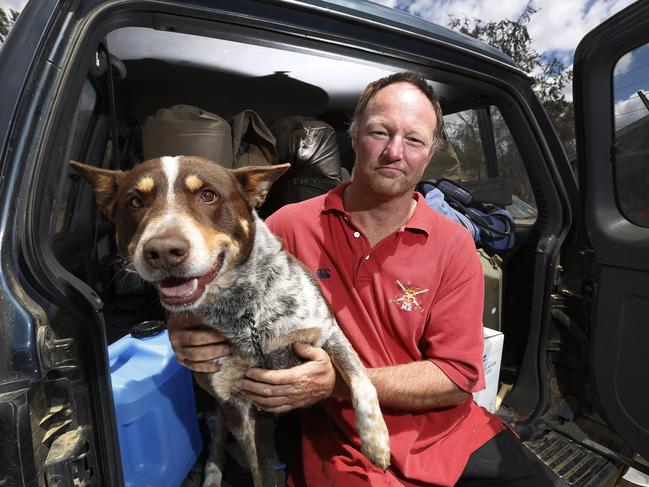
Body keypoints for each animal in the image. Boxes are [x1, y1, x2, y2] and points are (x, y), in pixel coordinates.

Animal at [73, 156, 392, 487]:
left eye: (208, 195)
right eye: (135, 201)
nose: (163, 251)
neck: (247, 311)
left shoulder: (326, 331)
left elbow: (362, 381)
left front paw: (376, 442)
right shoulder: (233, 403)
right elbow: (257, 467)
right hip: (213, 411)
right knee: (217, 450)